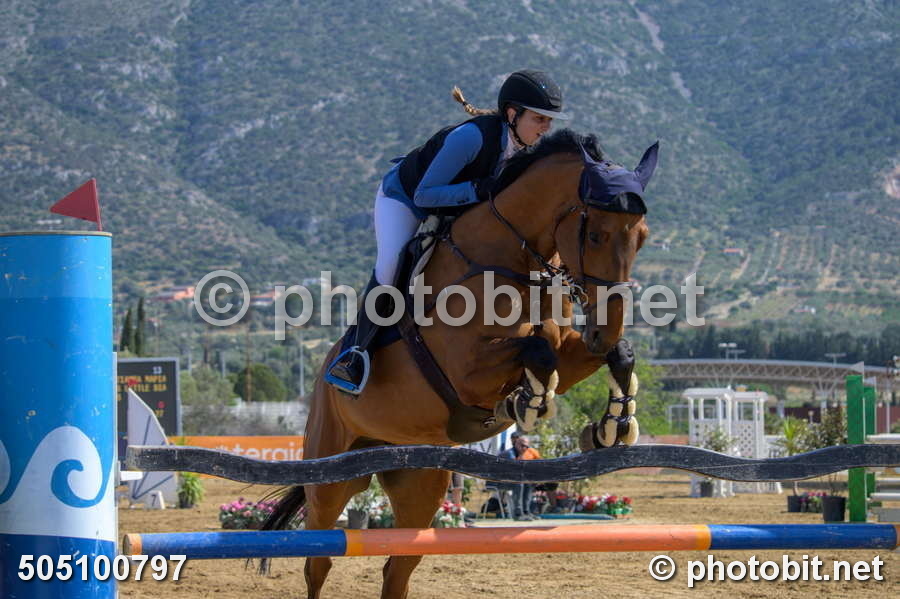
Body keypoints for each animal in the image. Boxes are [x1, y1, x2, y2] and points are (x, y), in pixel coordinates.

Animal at [262, 129, 657, 598]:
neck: (514, 261)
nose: (604, 328)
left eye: (642, 236)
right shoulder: (465, 371)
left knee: (398, 567)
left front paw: (611, 425)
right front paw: (526, 403)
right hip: (330, 475)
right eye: (595, 234)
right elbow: (535, 352)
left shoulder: (571, 352)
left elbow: (613, 355)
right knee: (318, 560)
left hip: (418, 482)